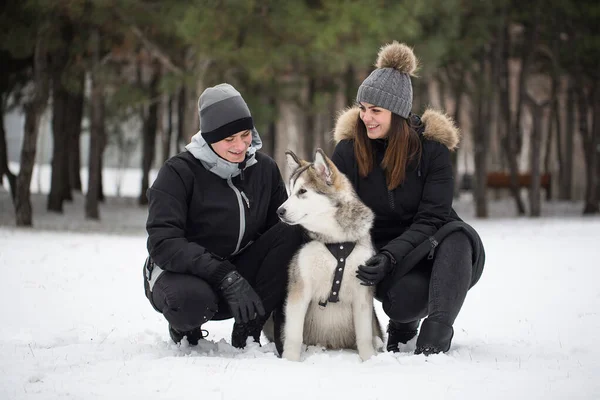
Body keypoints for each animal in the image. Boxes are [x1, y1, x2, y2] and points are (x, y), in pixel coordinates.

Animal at [276, 148, 382, 360]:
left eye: (302, 191)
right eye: (290, 192)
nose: (279, 211)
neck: (336, 242)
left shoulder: (362, 290)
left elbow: (365, 336)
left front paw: (369, 360)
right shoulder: (300, 287)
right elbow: (294, 335)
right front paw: (290, 361)